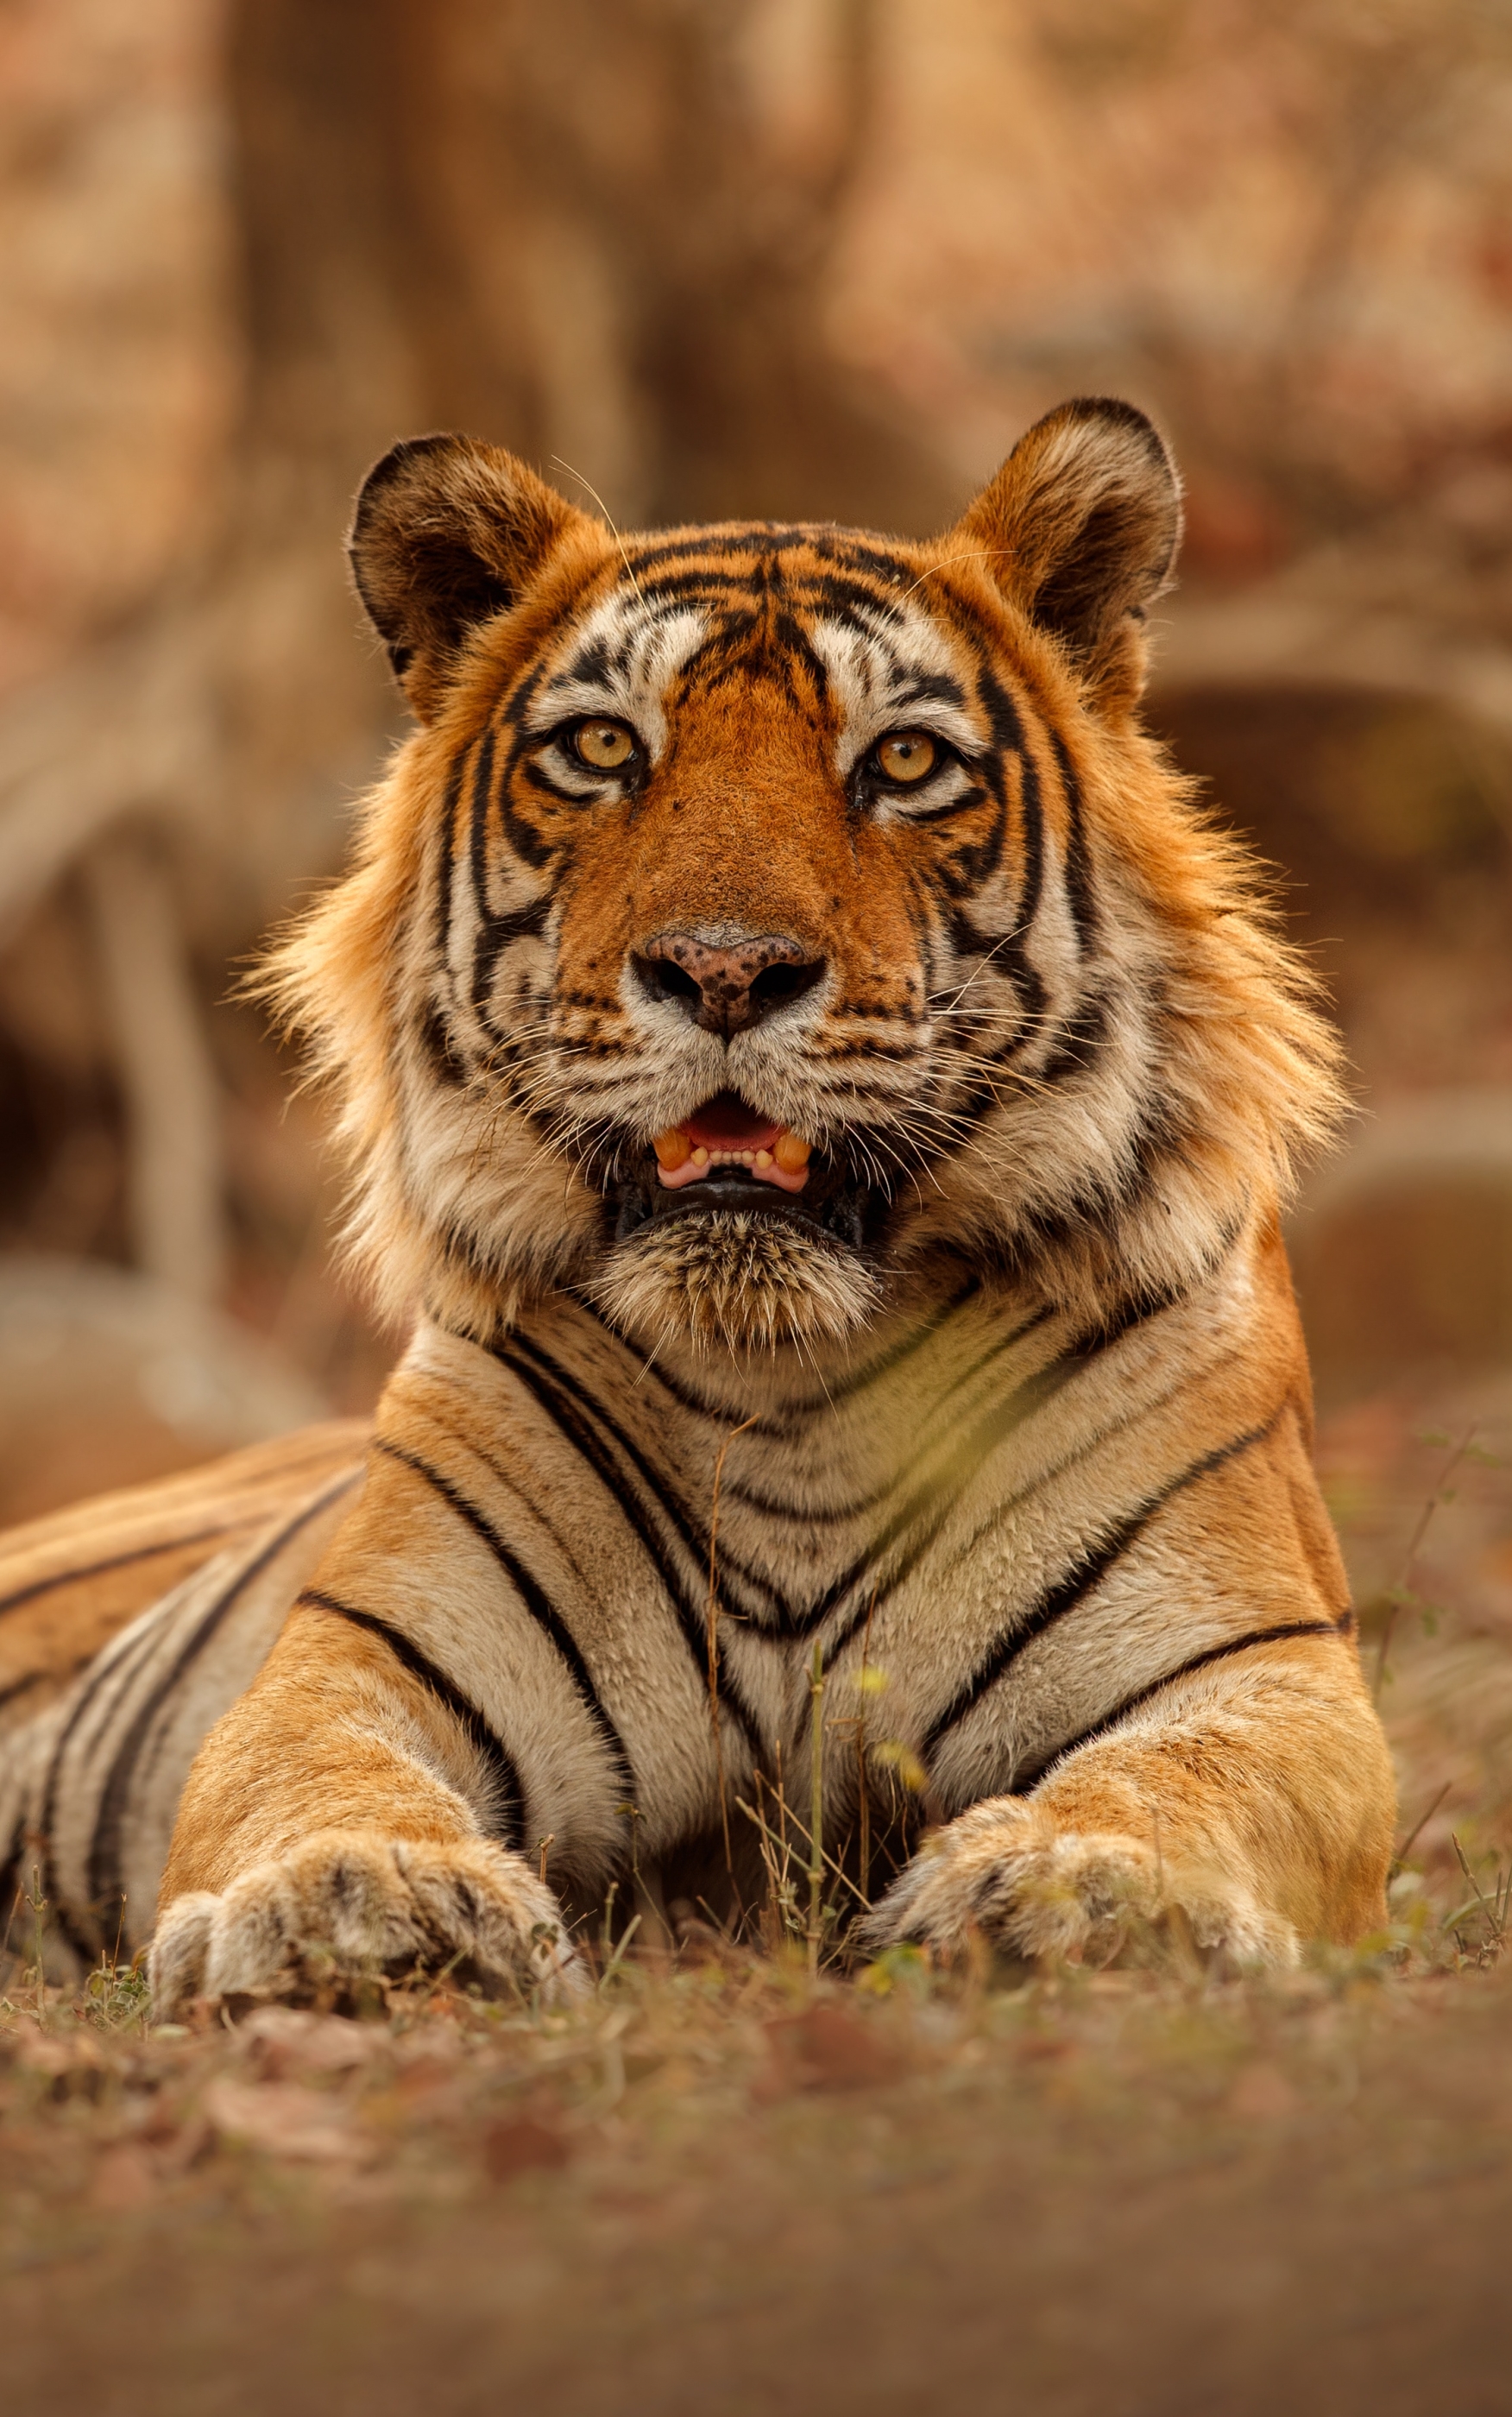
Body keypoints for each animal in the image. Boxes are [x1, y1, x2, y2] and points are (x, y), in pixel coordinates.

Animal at [0, 406, 1391, 2010]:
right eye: (604, 748)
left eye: (903, 760)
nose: (725, 970)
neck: (790, 1385)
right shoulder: (356, 1662)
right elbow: (313, 1779)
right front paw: (356, 1896)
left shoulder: (1260, 1668)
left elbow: (1182, 1780)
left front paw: (1081, 1887)